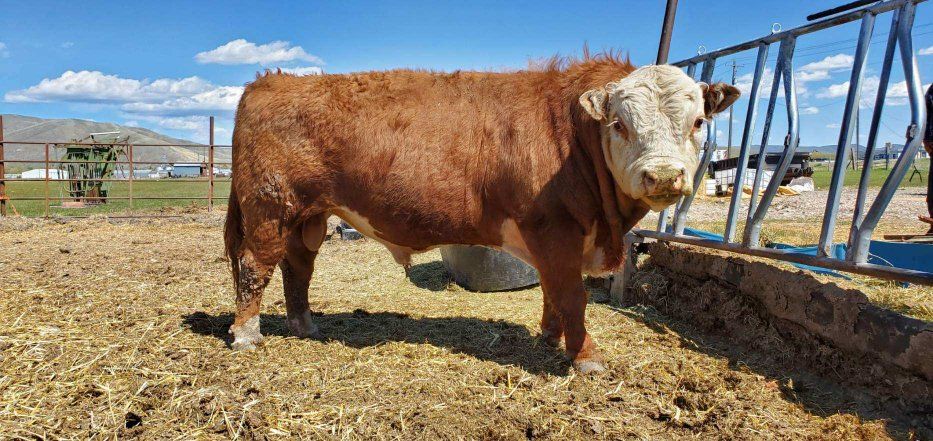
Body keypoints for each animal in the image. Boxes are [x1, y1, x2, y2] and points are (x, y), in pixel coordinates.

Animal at [223, 53, 740, 373]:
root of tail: (269, 81)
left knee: (297, 269)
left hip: (307, 217)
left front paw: (549, 337)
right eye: (619, 124)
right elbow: (572, 295)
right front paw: (585, 356)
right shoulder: (554, 228)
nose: (664, 176)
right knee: (254, 267)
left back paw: (305, 325)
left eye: (698, 121)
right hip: (269, 208)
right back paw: (246, 334)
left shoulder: (557, 239)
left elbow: (553, 292)